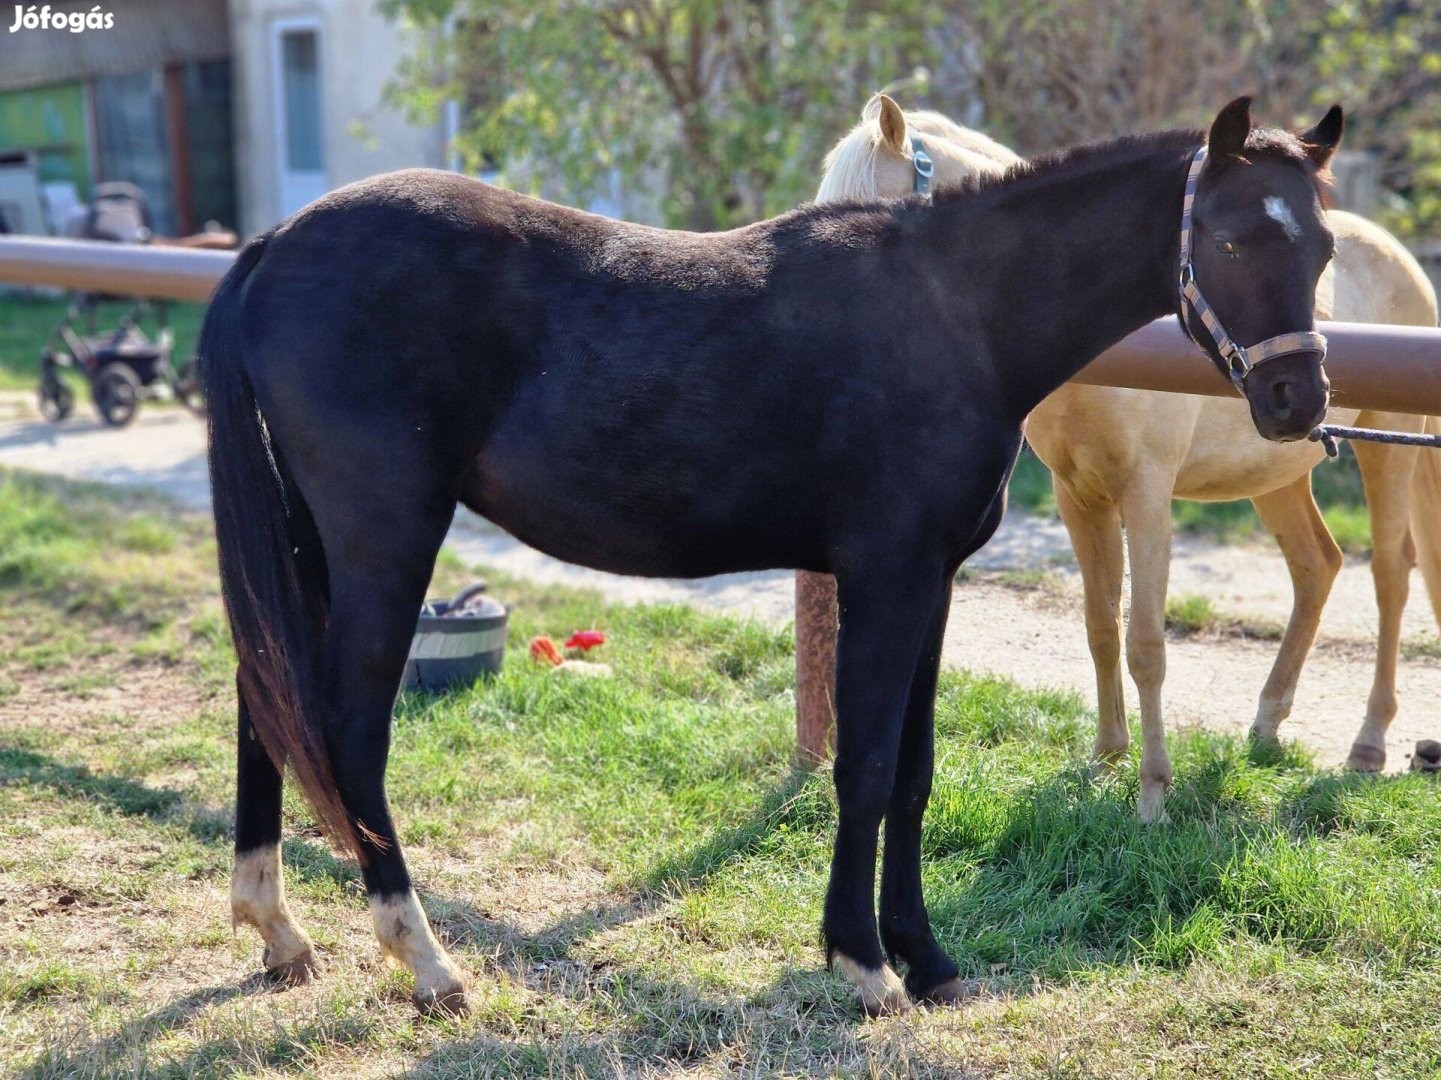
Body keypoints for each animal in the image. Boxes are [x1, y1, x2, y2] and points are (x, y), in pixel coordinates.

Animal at [203, 96, 1337, 1015]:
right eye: (1230, 238)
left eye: (1322, 248)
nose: (1297, 402)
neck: (958, 313)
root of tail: (274, 243)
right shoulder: (886, 574)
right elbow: (866, 767)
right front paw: (863, 964)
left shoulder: (931, 585)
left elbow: (914, 772)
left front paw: (926, 959)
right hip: (384, 537)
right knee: (348, 730)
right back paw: (426, 960)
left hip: (310, 542)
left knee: (268, 700)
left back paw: (278, 931)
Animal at [806, 96, 1435, 819]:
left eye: (1324, 253)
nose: (1298, 396)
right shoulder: (1077, 497)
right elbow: (1100, 625)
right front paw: (1107, 756)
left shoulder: (1147, 497)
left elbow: (1146, 644)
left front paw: (1152, 794)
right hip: (1274, 473)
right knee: (1317, 566)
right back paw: (1267, 722)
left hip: (1388, 450)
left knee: (1389, 577)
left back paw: (1368, 743)